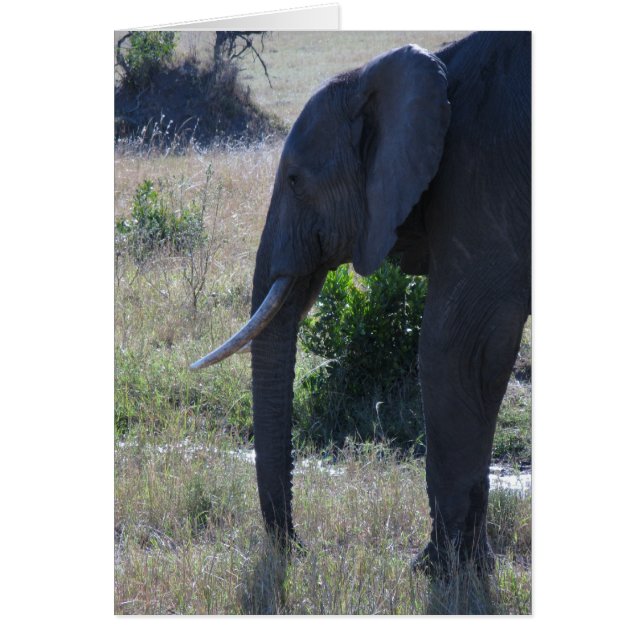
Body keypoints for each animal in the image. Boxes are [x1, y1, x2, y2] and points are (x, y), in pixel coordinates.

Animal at [191, 31, 531, 574]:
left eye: (294, 181)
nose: (299, 547)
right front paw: (466, 570)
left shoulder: (483, 178)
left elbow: (453, 351)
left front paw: (435, 571)